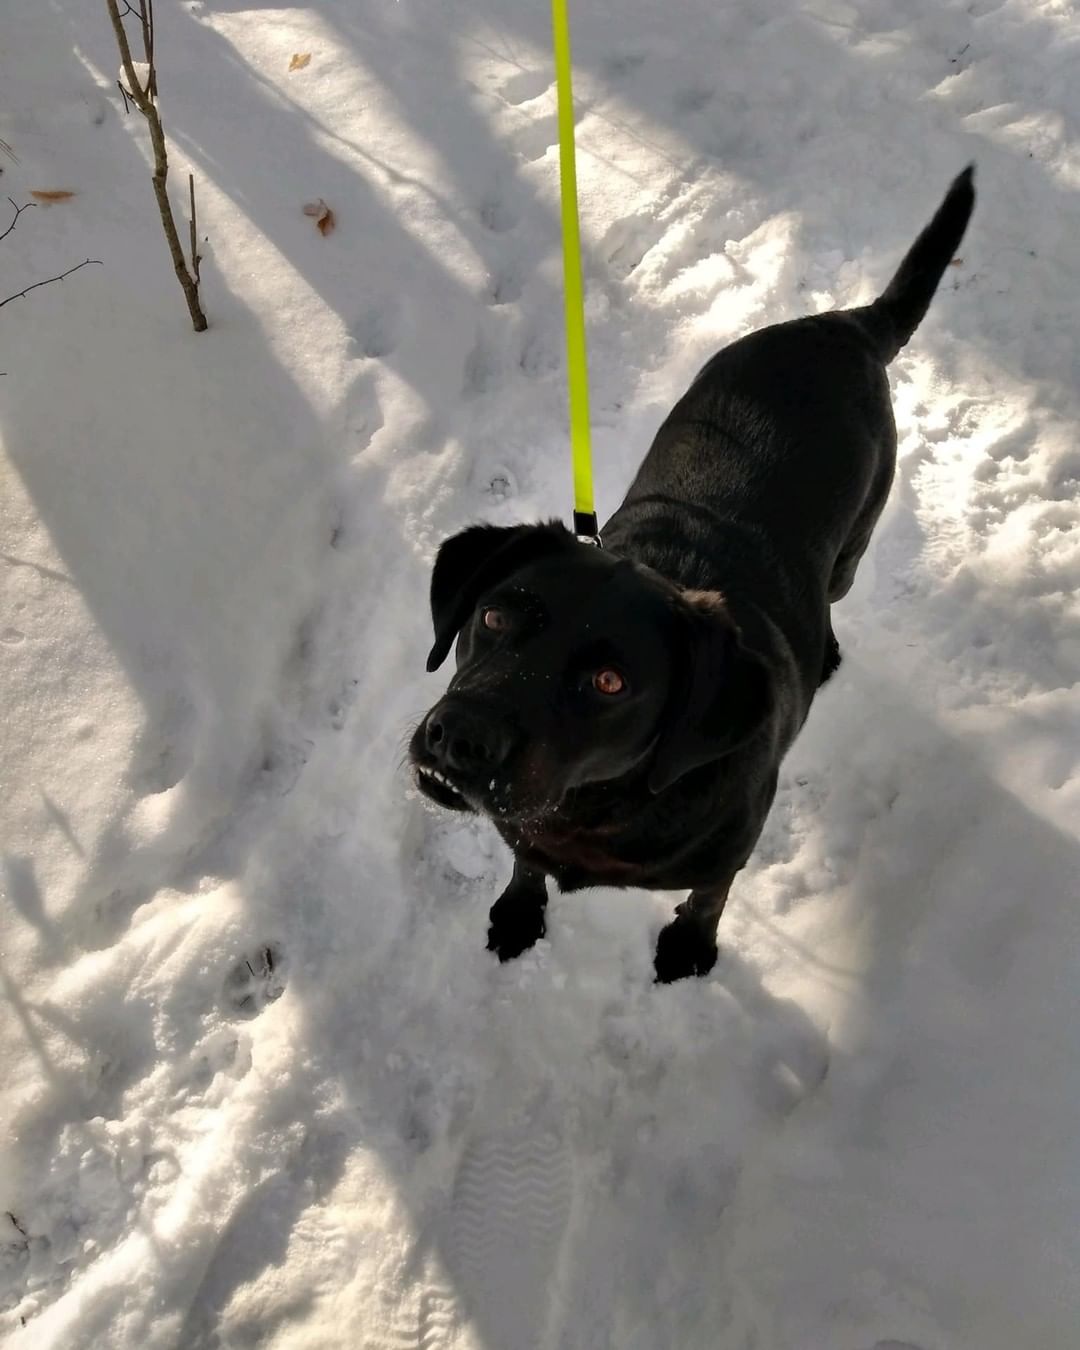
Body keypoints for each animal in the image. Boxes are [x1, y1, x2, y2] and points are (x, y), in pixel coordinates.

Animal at [410, 168, 972, 982]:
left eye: (610, 681)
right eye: (494, 617)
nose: (460, 736)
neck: (592, 809)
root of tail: (841, 324)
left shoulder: (729, 848)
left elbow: (710, 896)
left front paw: (688, 946)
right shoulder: (528, 826)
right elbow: (524, 861)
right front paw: (518, 912)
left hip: (856, 536)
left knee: (838, 587)